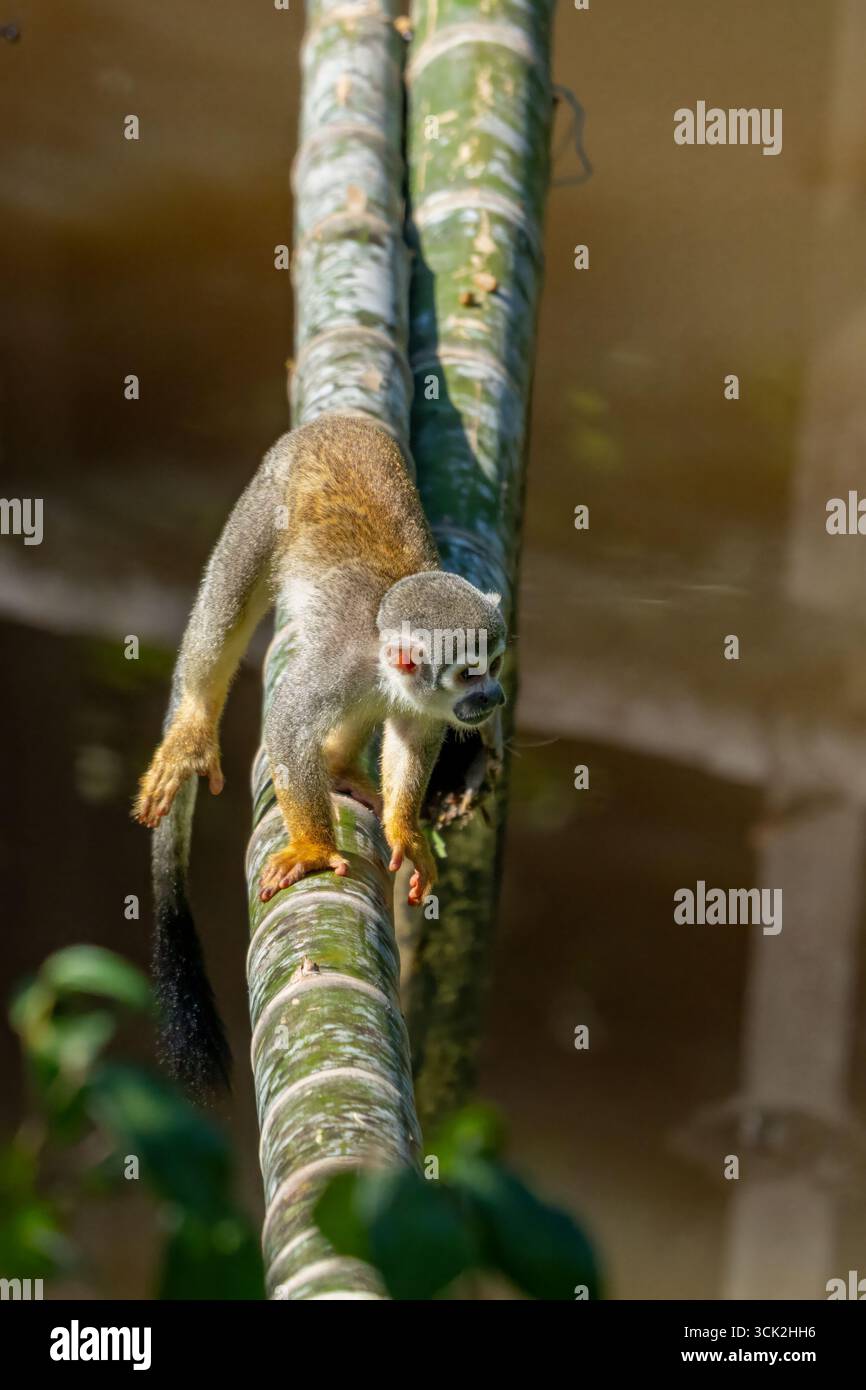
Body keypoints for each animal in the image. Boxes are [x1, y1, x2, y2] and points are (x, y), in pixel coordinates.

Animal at [133, 414, 507, 1097]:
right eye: (469, 673)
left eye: (494, 663)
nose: (493, 697)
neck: (385, 660)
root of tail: (336, 421)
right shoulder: (340, 664)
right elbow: (287, 719)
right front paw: (312, 846)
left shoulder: (416, 700)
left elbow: (417, 736)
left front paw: (405, 831)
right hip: (267, 494)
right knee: (223, 611)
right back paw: (194, 724)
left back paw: (338, 765)